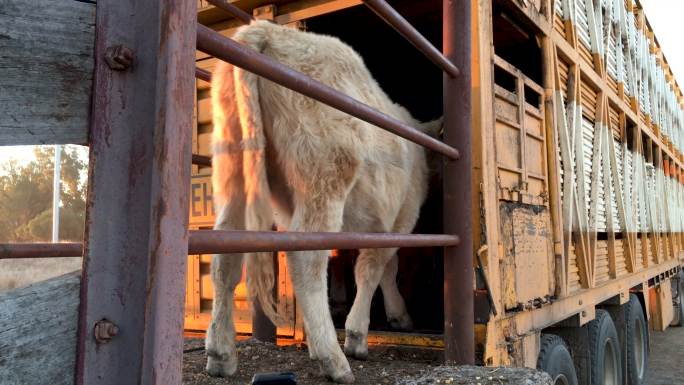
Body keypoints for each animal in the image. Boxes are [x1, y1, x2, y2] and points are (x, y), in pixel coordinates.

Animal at [206, 20, 438, 380]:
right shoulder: (402, 217)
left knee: (225, 254)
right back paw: (333, 358)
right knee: (306, 259)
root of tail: (267, 30)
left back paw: (220, 353)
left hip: (233, 171)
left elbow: (378, 267)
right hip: (324, 177)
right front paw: (360, 334)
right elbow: (374, 267)